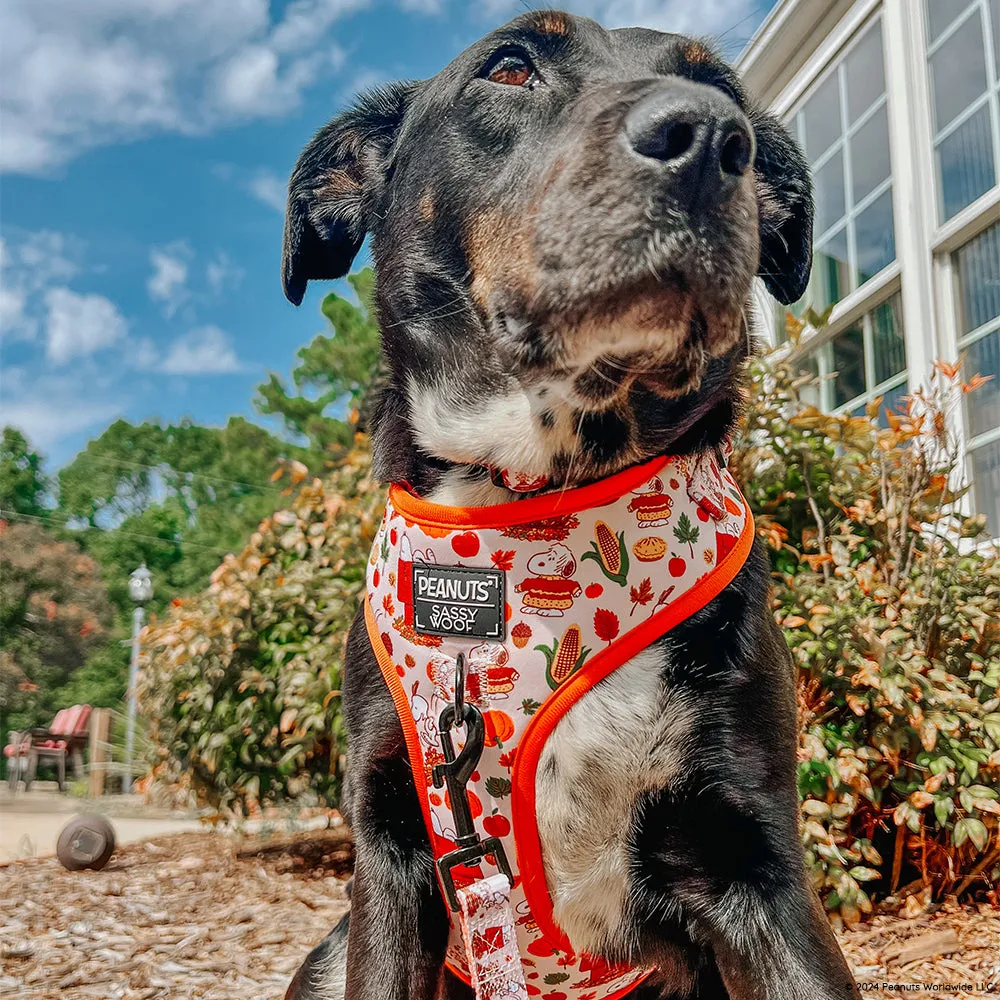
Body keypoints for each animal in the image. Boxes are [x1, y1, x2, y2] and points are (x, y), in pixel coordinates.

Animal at [282, 9, 860, 1000]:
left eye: (725, 91)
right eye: (510, 69)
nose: (710, 137)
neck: (533, 510)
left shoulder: (755, 863)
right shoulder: (392, 852)